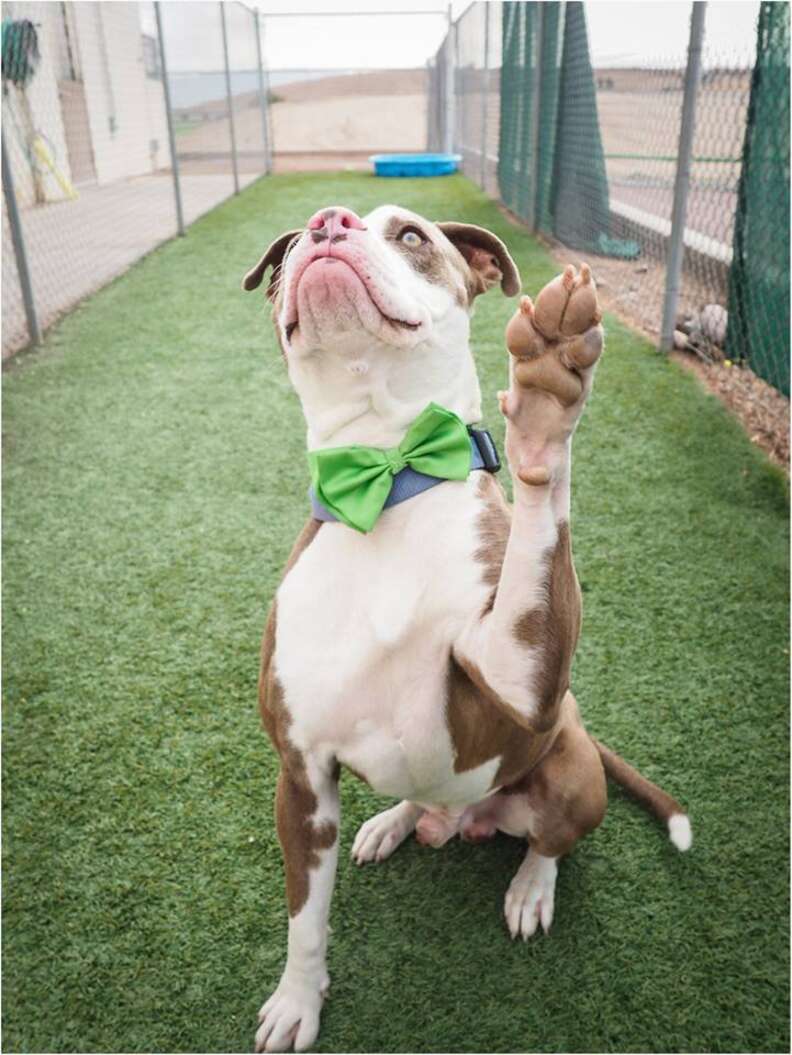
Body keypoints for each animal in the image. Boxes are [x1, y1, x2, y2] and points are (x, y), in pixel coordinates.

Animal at [244, 201, 691, 1050]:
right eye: (285, 251)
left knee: (553, 839)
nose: (327, 221)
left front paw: (547, 395)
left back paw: (529, 888)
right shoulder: (302, 774)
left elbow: (536, 536)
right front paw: (297, 998)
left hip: (571, 764)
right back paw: (393, 823)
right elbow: (304, 917)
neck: (386, 481)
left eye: (411, 235)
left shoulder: (520, 672)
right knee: (421, 796)